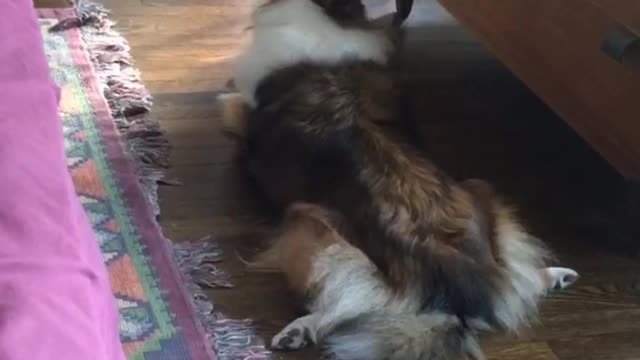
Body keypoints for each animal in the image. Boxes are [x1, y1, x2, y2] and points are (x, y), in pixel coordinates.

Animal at [220, 1, 580, 358]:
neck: (328, 12)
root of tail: (456, 303)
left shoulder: (241, 113)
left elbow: (228, 102)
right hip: (481, 190)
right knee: (517, 279)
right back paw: (555, 276)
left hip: (309, 224)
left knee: (348, 306)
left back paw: (300, 329)